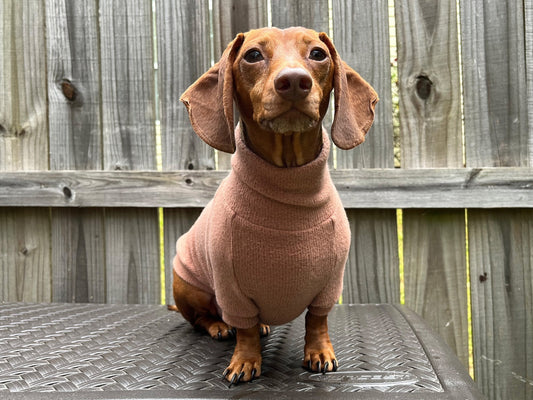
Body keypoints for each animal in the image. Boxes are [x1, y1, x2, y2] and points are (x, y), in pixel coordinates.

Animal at [171, 27, 378, 384]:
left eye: (318, 54)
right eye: (252, 55)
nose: (294, 81)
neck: (288, 182)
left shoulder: (329, 284)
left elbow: (317, 320)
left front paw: (319, 352)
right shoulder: (231, 288)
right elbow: (245, 328)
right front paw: (245, 359)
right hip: (186, 284)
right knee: (202, 318)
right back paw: (218, 326)